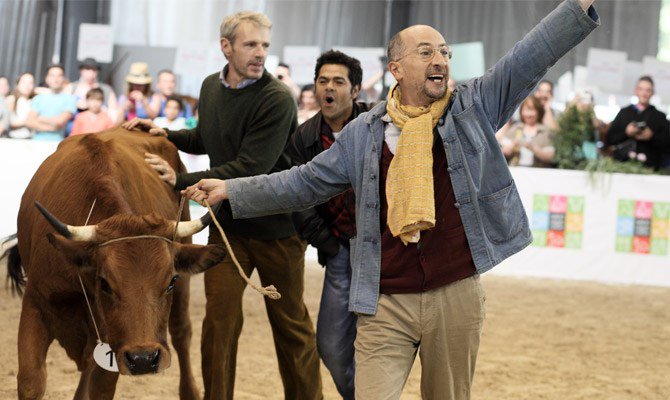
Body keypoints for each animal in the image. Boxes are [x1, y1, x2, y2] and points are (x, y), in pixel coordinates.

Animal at [5, 128, 226, 400]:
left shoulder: (114, 345)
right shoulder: (34, 305)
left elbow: (100, 388)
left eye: (171, 281)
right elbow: (31, 382)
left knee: (181, 332)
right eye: (104, 283)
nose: (144, 359)